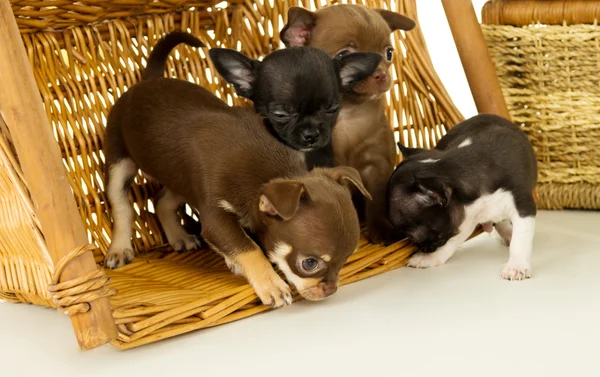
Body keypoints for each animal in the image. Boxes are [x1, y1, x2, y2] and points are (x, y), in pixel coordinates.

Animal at [282, 3, 418, 244]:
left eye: (388, 53)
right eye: (344, 55)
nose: (381, 74)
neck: (348, 112)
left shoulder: (377, 166)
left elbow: (376, 200)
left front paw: (381, 228)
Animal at [390, 114, 540, 280]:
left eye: (411, 237)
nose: (422, 248)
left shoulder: (522, 206)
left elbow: (520, 240)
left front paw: (517, 266)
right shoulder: (465, 218)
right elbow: (451, 242)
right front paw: (431, 258)